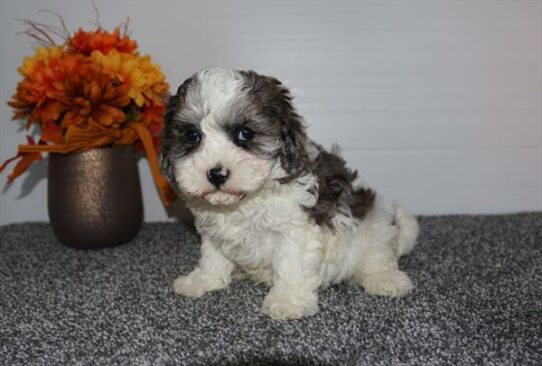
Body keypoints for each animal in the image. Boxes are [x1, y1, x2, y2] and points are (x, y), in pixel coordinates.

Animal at [162, 68, 420, 320]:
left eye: (245, 133)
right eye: (193, 136)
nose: (216, 174)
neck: (246, 200)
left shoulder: (295, 227)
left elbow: (291, 265)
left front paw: (287, 302)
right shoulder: (213, 231)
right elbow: (212, 257)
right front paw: (203, 280)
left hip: (371, 228)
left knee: (378, 256)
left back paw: (386, 279)